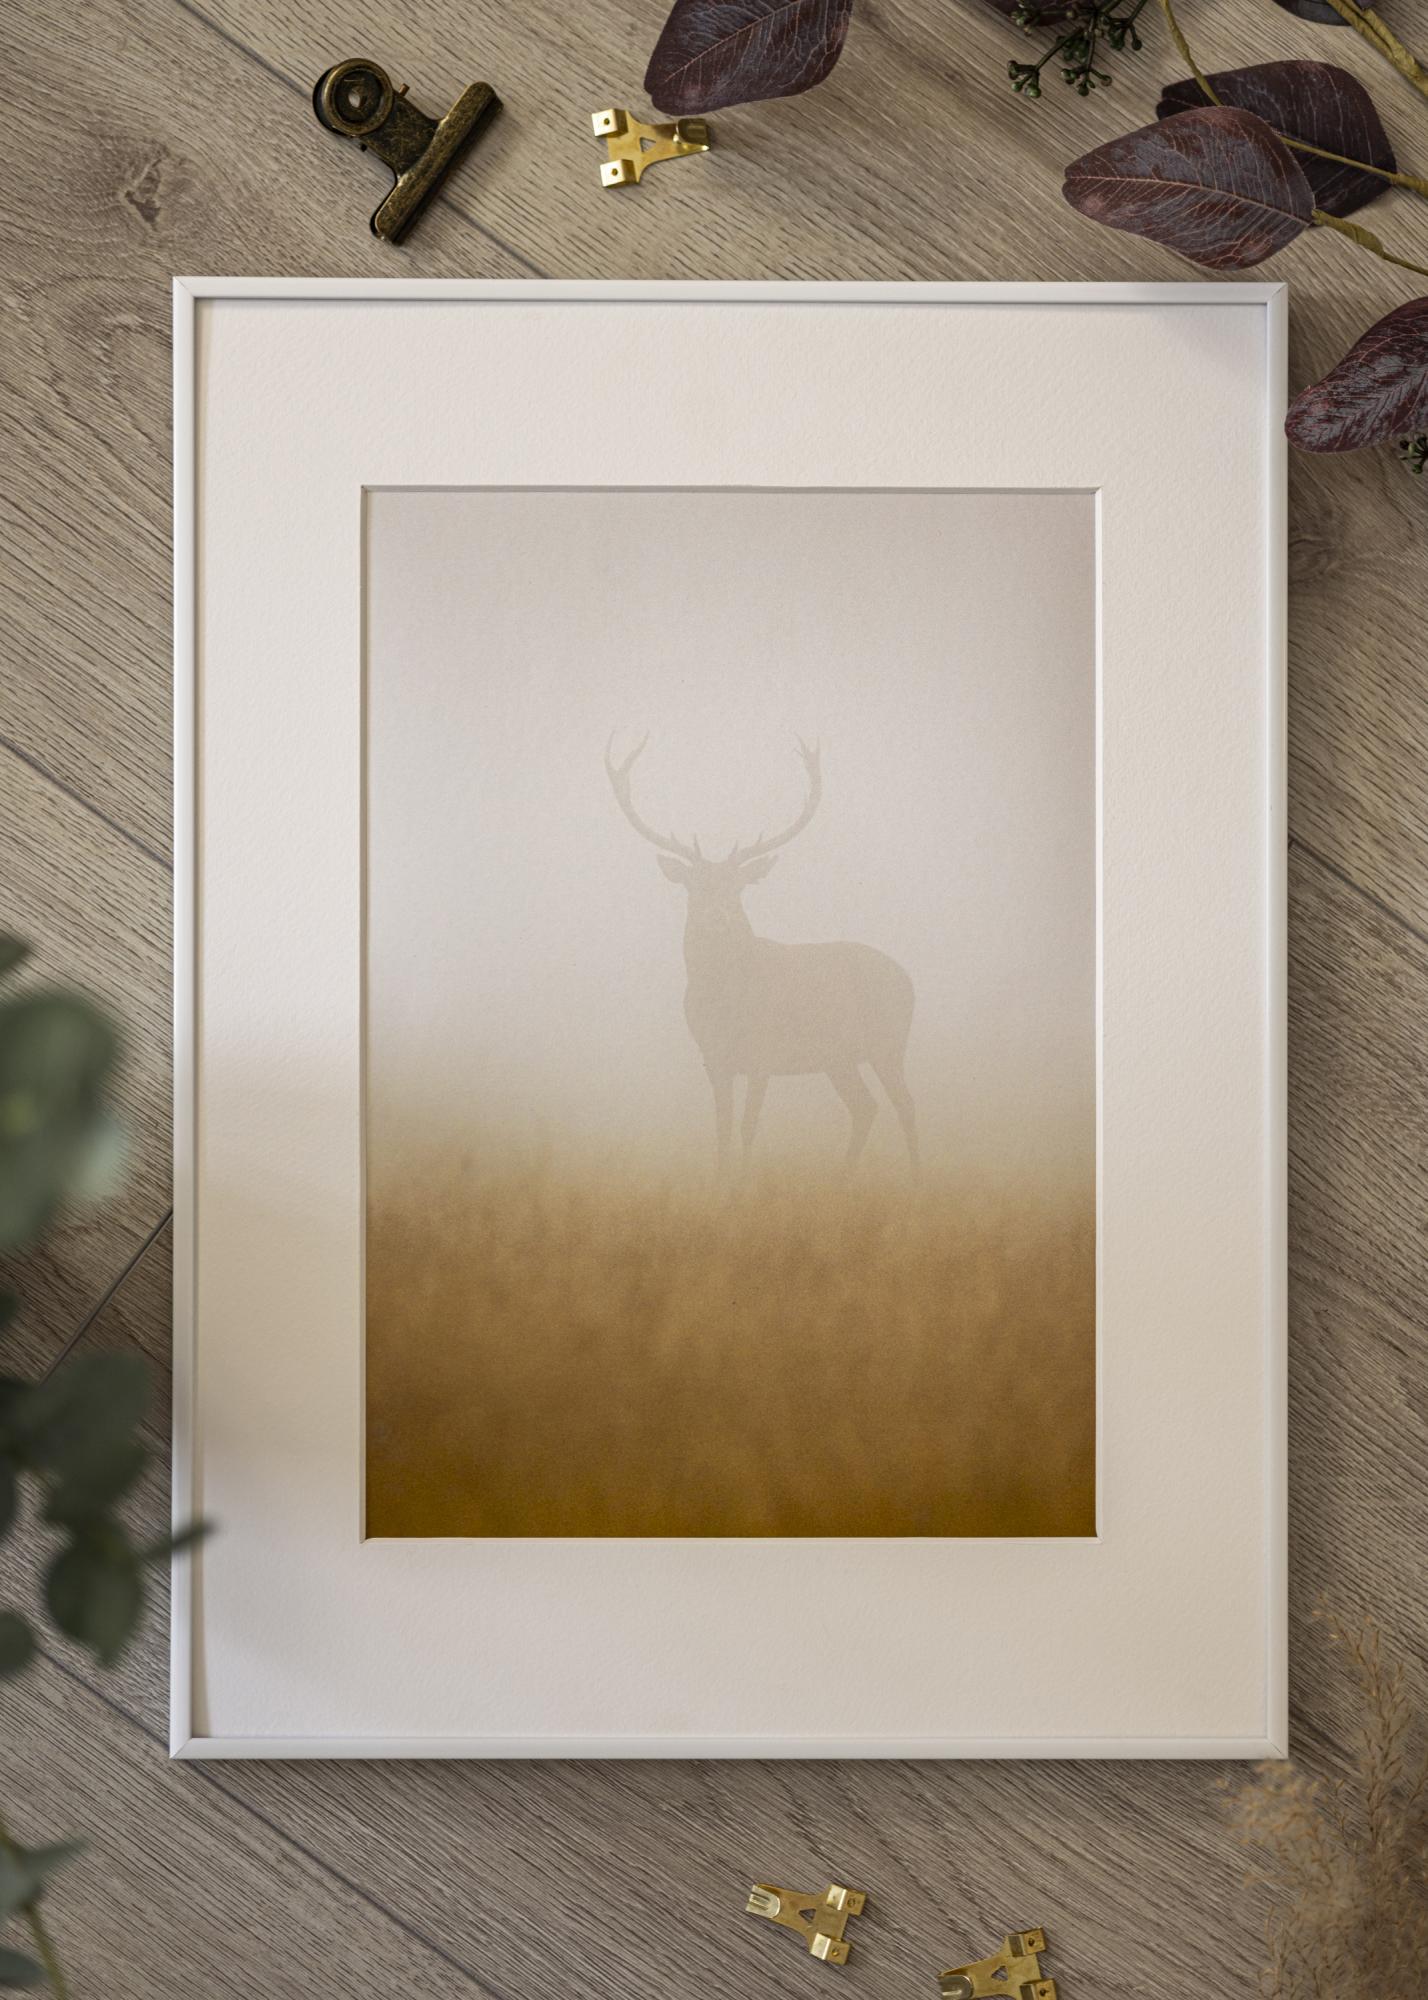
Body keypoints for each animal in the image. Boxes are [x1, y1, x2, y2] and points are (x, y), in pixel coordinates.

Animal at [605, 736, 918, 1173]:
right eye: (693, 886)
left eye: (738, 887)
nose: (717, 918)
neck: (723, 1002)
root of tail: (909, 980)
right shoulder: (714, 1059)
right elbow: (722, 1130)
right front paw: (722, 1180)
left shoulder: (763, 1054)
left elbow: (748, 1127)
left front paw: (744, 1181)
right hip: (838, 1058)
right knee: (865, 1106)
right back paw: (842, 1177)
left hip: (888, 1041)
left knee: (905, 1104)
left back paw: (916, 1178)